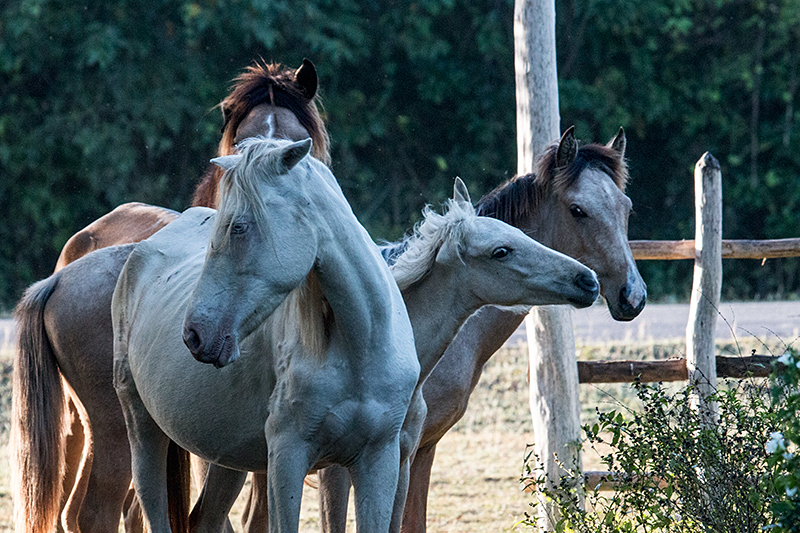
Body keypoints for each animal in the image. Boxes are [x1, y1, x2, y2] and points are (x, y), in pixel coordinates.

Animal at [11, 58, 328, 532]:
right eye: (241, 142)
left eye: (294, 140)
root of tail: (56, 282)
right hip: (115, 428)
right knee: (95, 510)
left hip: (77, 426)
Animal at [112, 138, 422, 532]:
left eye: (239, 227)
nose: (195, 334)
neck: (360, 349)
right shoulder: (287, 458)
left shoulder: (379, 459)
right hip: (143, 429)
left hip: (226, 459)